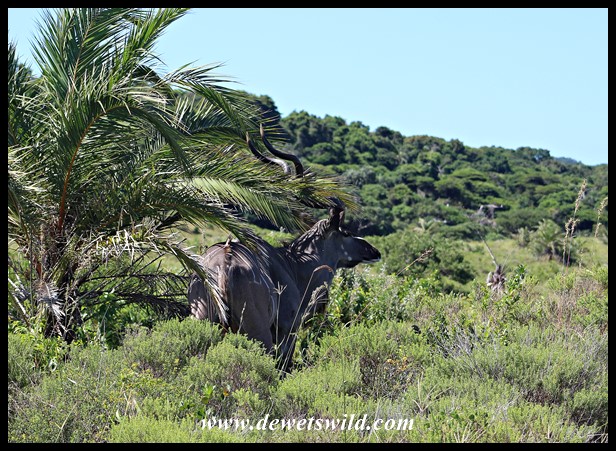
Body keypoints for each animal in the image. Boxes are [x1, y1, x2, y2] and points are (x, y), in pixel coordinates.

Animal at [188, 127, 381, 371]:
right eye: (346, 232)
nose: (374, 251)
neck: (293, 264)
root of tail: (224, 264)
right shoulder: (288, 329)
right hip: (257, 331)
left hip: (204, 321)